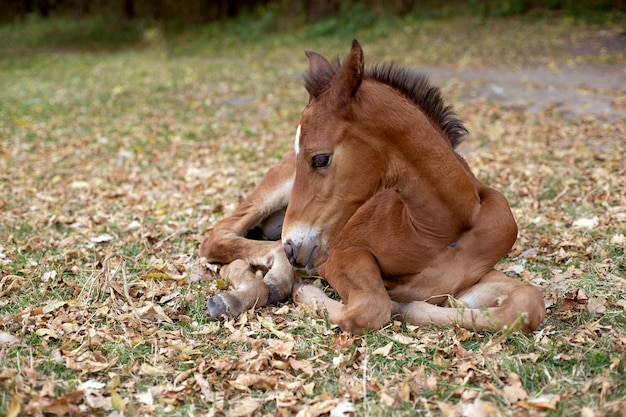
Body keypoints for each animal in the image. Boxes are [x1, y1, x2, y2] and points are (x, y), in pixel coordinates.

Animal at [199, 39, 540, 332]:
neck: (443, 229)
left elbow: (527, 303)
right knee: (219, 236)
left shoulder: (469, 277)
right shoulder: (342, 254)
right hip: (277, 193)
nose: (294, 247)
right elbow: (370, 307)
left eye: (320, 158)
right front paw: (305, 293)